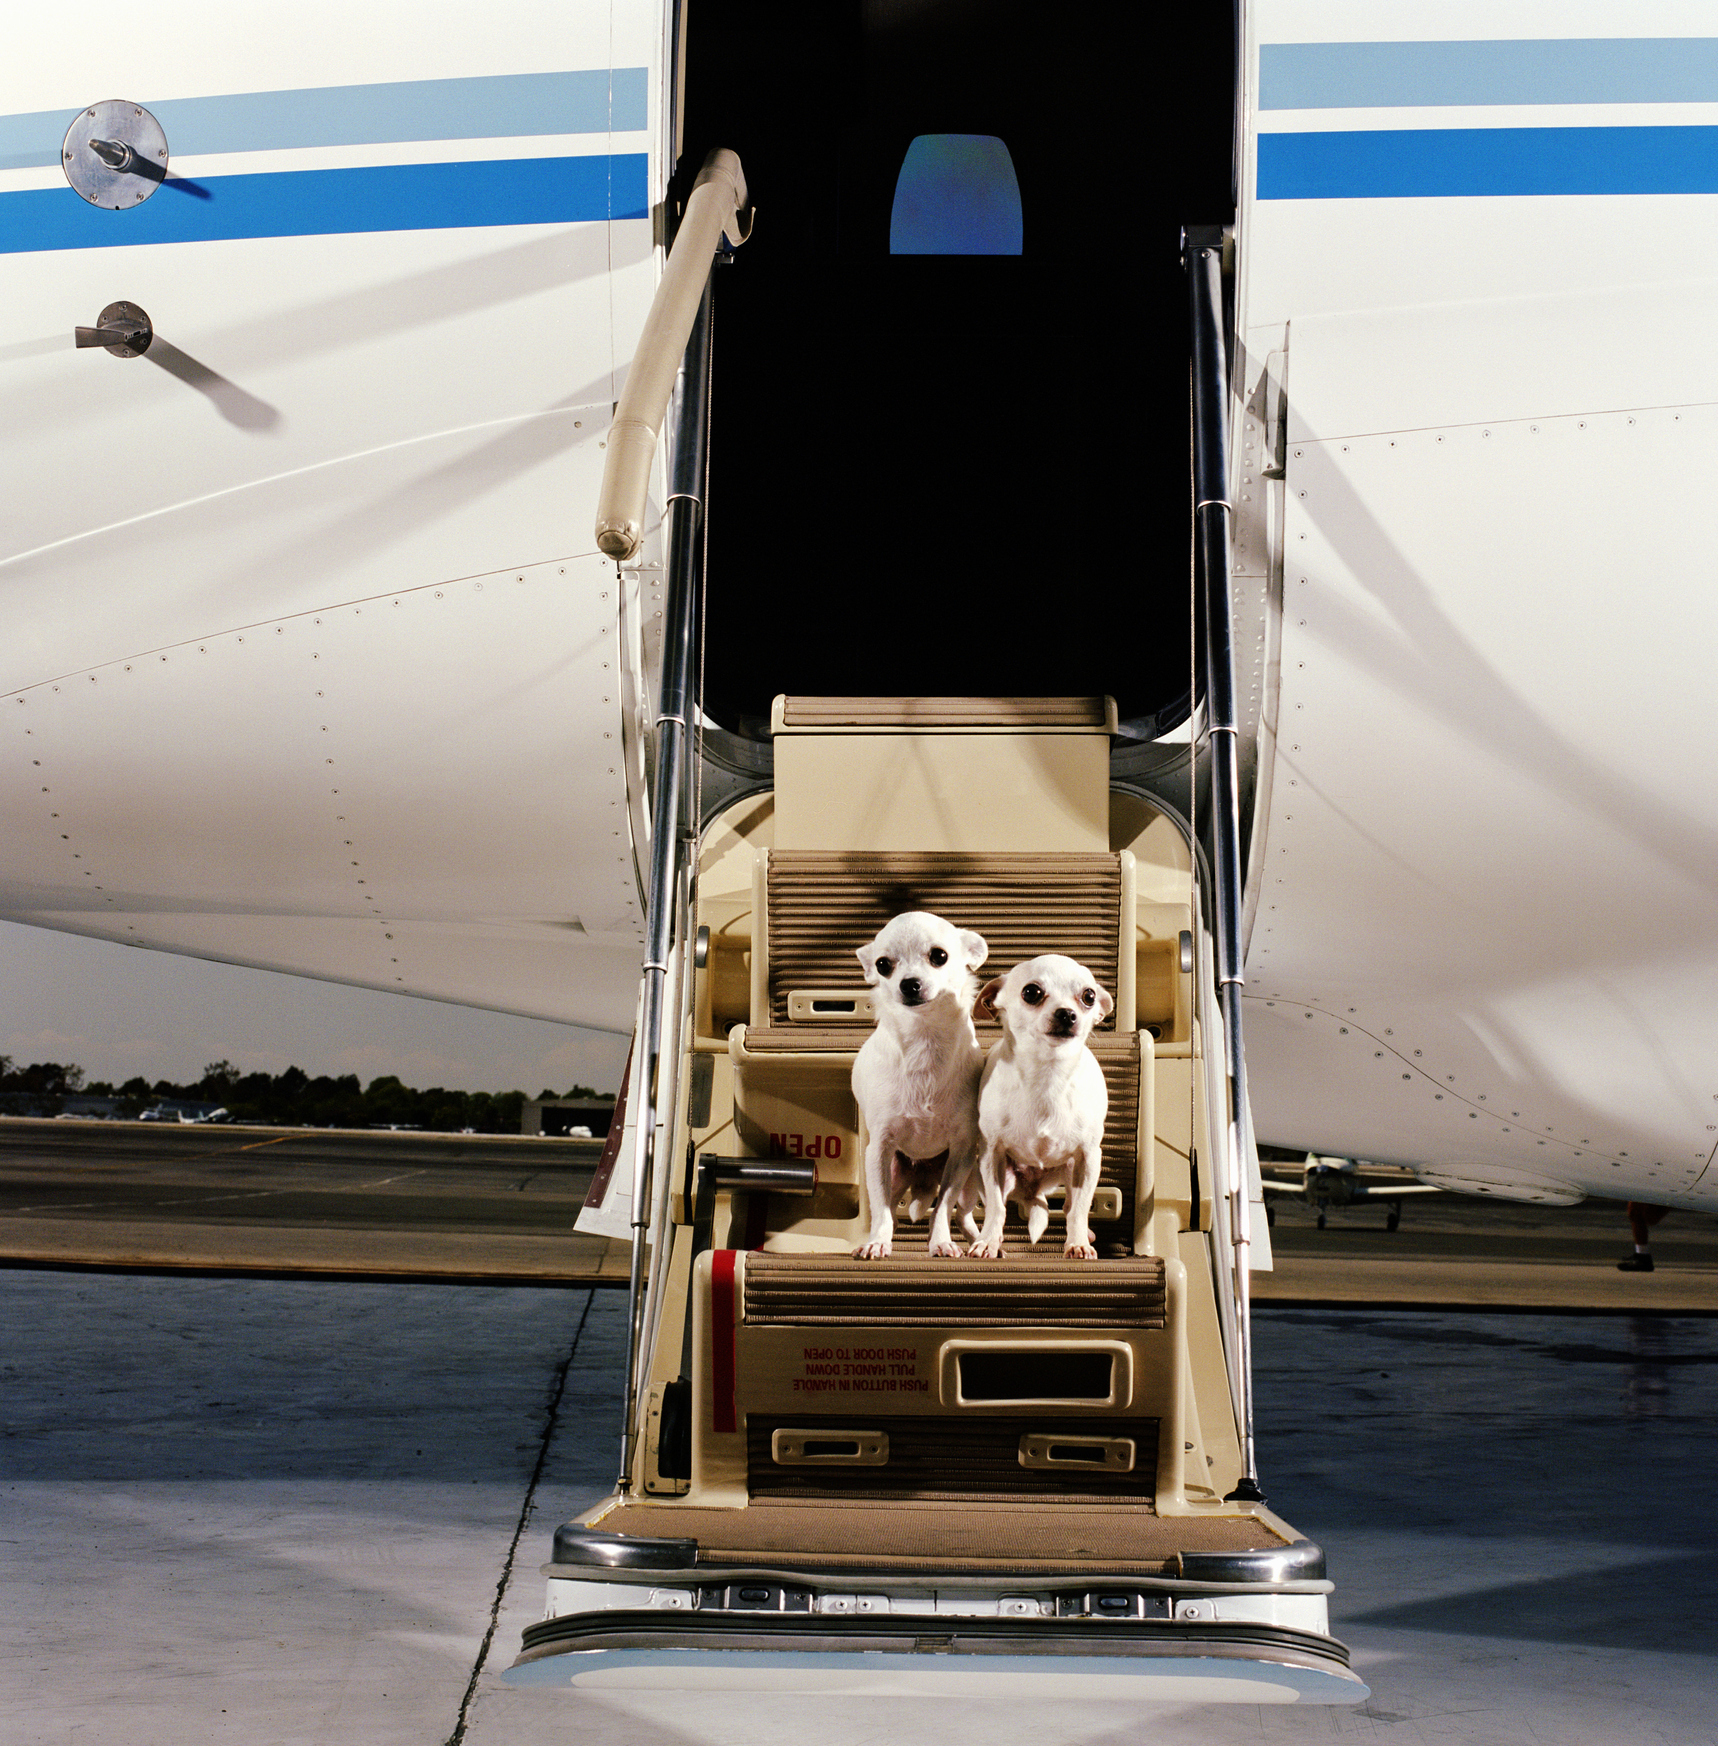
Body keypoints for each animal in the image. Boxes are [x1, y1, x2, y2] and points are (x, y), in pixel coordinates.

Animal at [848, 914, 984, 1257]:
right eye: (883, 964)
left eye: (939, 956)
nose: (908, 983)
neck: (924, 1039)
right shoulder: (879, 1149)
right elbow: (882, 1210)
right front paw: (876, 1243)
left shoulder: (961, 1152)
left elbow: (943, 1207)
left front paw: (941, 1242)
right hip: (894, 1173)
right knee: (889, 1208)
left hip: (972, 1180)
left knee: (961, 1214)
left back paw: (980, 1244)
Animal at [970, 956, 1110, 1257]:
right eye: (1031, 992)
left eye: (1089, 996)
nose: (1068, 1014)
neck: (1048, 1074)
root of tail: (1033, 1190)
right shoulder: (991, 1155)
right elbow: (996, 1208)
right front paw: (988, 1241)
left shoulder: (1089, 1157)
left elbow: (1080, 1209)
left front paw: (1078, 1243)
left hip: (1071, 1169)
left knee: (1069, 1206)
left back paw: (1083, 1235)